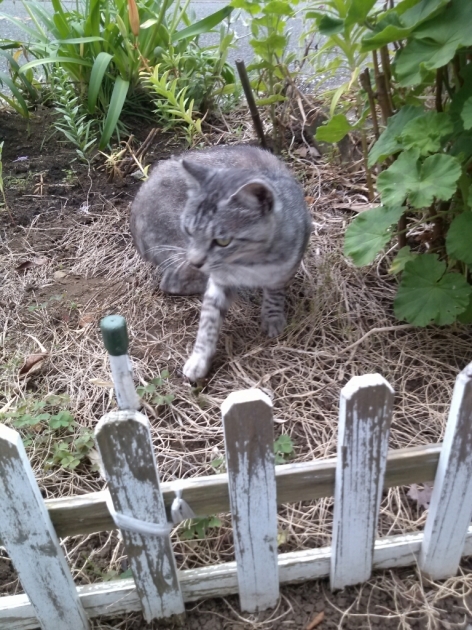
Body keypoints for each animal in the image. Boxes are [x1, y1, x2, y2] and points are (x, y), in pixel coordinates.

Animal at [131, 144, 312, 380]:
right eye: (189, 230)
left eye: (223, 241)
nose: (196, 260)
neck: (250, 262)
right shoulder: (218, 280)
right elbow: (209, 320)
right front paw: (199, 359)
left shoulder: (286, 267)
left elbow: (274, 293)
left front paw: (272, 317)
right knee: (171, 282)